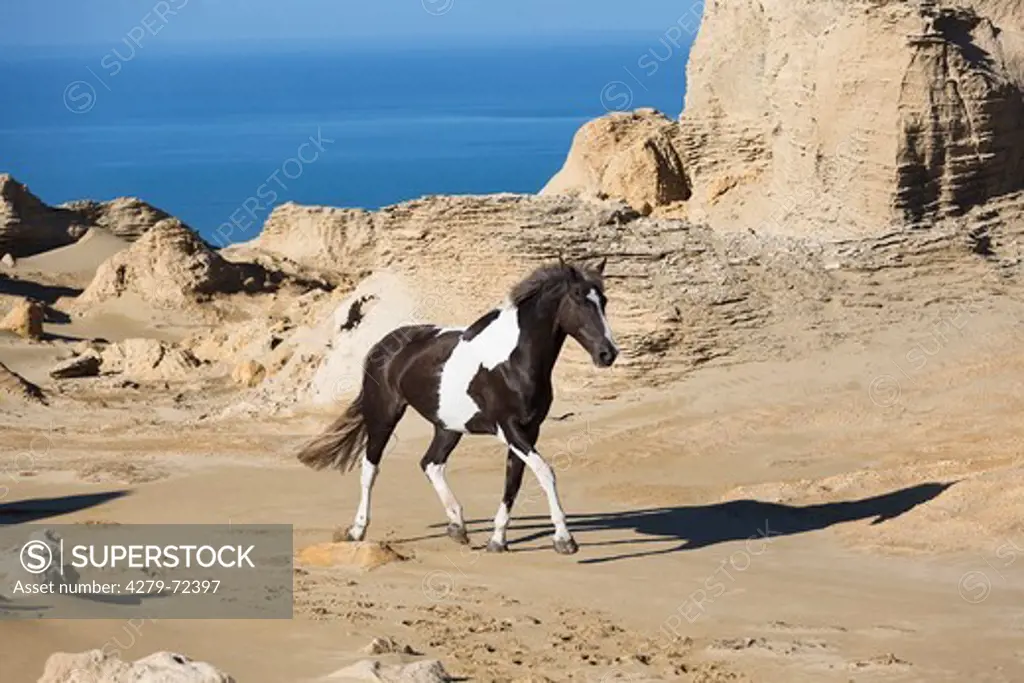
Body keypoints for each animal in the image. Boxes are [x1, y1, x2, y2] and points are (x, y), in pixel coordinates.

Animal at [296, 259, 614, 552]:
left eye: (604, 301)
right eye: (577, 298)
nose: (608, 354)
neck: (514, 361)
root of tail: (384, 344)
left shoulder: (528, 430)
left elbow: (514, 481)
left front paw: (497, 540)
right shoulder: (510, 428)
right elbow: (545, 472)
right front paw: (564, 539)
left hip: (447, 426)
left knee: (431, 463)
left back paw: (457, 526)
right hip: (384, 414)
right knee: (370, 468)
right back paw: (357, 531)